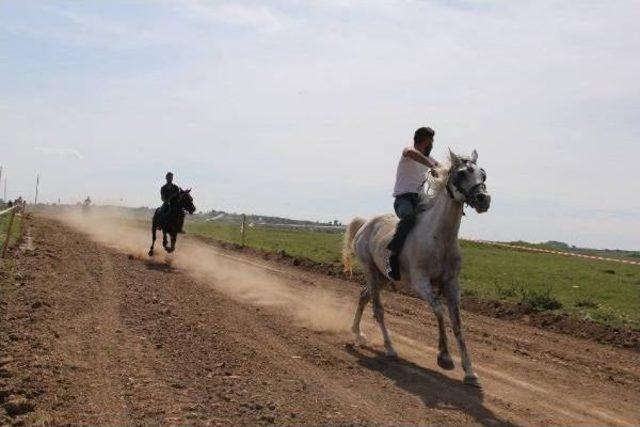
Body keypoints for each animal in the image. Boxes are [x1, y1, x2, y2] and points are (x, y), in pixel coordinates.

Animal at [344, 150, 490, 388]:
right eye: (460, 173)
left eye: (482, 174)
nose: (483, 199)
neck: (440, 238)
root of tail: (365, 224)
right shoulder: (421, 283)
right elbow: (439, 311)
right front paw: (445, 359)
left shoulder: (452, 285)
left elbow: (458, 324)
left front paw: (470, 373)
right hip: (370, 271)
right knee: (378, 309)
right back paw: (390, 348)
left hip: (383, 277)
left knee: (363, 296)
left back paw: (358, 334)